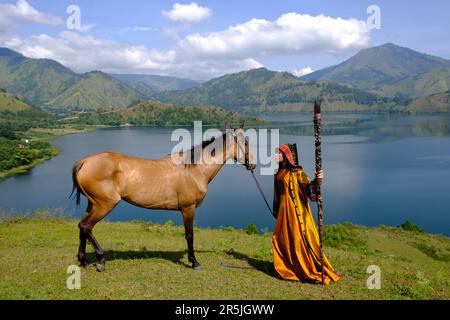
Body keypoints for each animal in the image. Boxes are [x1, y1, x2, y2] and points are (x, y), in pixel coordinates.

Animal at [72, 126, 258, 272]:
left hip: (93, 204)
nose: (253, 164)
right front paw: (194, 262)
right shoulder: (188, 208)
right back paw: (101, 261)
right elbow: (189, 235)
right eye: (246, 143)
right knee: (87, 226)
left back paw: (84, 260)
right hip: (104, 205)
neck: (194, 169)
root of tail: (85, 162)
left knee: (81, 226)